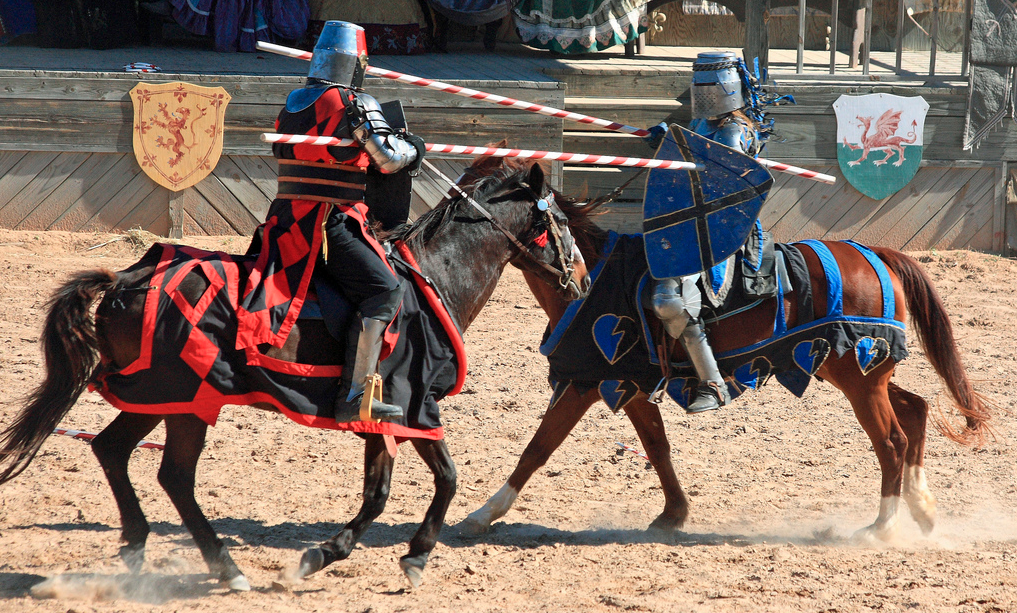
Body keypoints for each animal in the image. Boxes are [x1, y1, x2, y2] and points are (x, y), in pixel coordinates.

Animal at [0, 160, 585, 593]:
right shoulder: (415, 406)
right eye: (560, 224)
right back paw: (225, 568)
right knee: (174, 475)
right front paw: (407, 556)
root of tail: (125, 280)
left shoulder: (385, 418)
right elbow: (442, 478)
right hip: (188, 402)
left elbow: (381, 491)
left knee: (113, 450)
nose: (579, 277)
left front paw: (333, 554)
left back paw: (138, 546)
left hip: (160, 400)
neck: (435, 276)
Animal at [461, 170, 992, 544]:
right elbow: (656, 445)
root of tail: (876, 254)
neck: (593, 276)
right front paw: (673, 514)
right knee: (916, 410)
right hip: (858, 370)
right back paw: (923, 508)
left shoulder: (586, 382)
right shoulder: (630, 385)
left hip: (859, 377)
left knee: (892, 442)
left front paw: (482, 514)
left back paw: (881, 528)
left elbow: (537, 448)